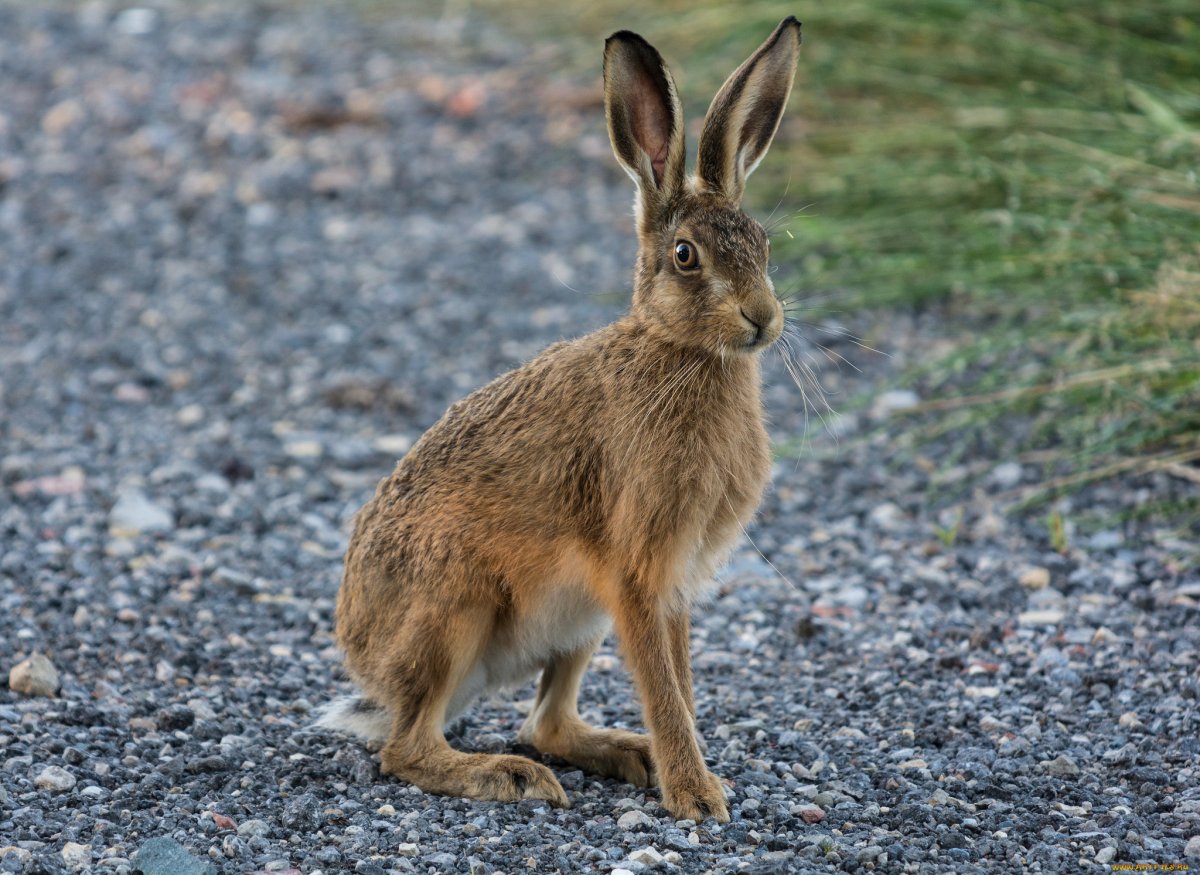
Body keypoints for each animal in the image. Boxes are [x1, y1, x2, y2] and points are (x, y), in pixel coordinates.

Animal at [318, 16, 802, 823]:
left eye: (762, 244)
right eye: (686, 256)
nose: (762, 319)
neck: (677, 351)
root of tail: (366, 663)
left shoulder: (672, 586)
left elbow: (680, 681)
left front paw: (695, 772)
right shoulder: (638, 571)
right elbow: (664, 686)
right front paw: (697, 795)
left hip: (577, 621)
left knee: (546, 720)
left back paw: (625, 753)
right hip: (453, 605)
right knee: (407, 748)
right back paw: (507, 776)